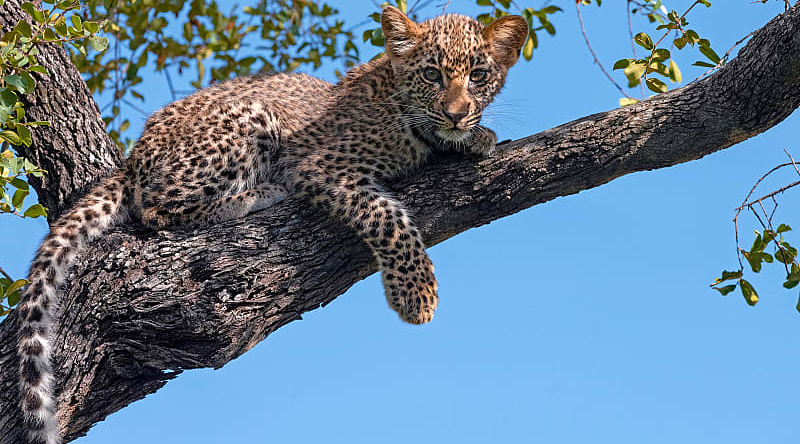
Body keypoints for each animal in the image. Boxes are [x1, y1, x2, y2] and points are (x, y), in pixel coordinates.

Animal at [16, 6, 528, 443]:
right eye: (431, 74)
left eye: (478, 76)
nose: (456, 113)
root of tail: (133, 157)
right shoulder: (322, 169)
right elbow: (390, 218)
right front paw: (416, 295)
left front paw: (477, 136)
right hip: (250, 120)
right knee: (157, 207)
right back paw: (262, 193)